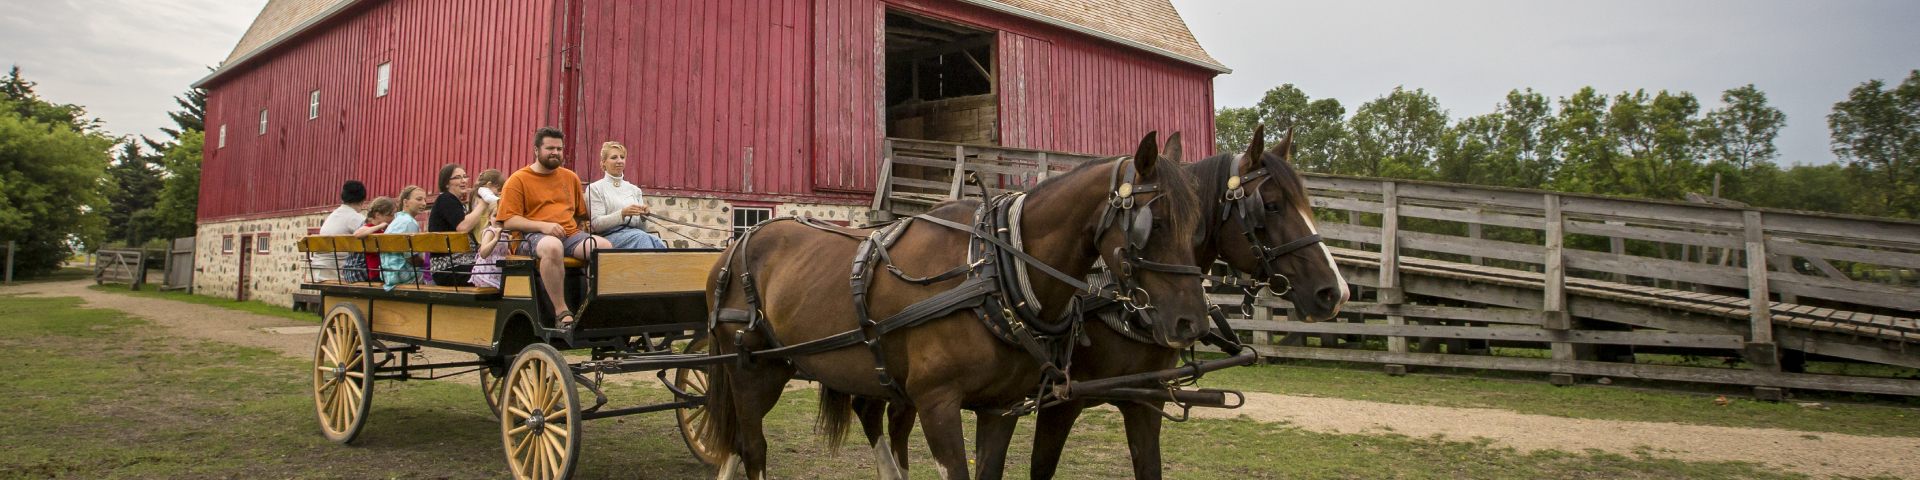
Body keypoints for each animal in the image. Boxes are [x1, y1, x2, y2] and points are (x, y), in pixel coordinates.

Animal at [706, 132, 1205, 480]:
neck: (992, 272)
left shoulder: (1000, 409)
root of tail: (733, 251)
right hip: (751, 369)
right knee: (753, 448)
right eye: (1155, 223)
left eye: (1195, 225)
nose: (1191, 323)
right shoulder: (938, 404)